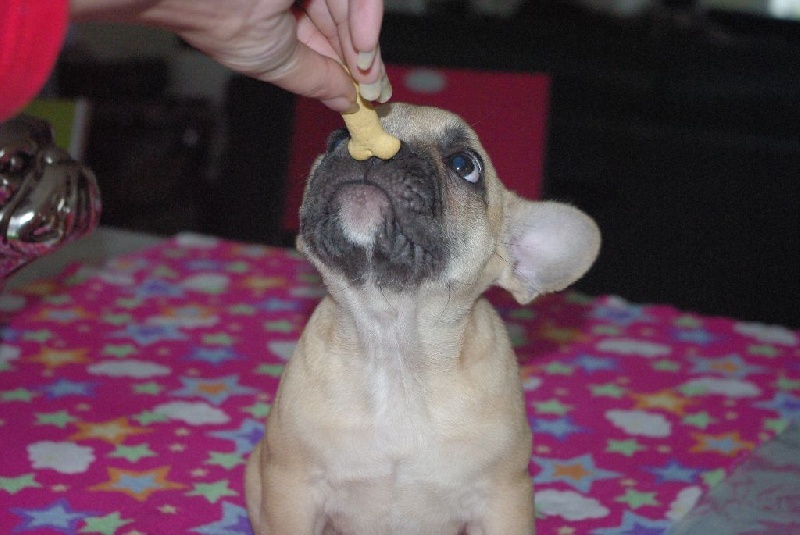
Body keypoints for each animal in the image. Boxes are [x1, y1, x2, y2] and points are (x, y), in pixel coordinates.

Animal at [245, 103, 601, 534]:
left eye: (465, 165)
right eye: (337, 138)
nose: (367, 147)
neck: (391, 338)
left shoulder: (503, 497)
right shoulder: (292, 486)